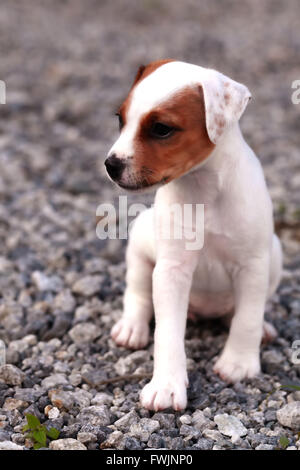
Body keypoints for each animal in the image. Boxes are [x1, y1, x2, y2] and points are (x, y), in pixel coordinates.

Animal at [104, 59, 282, 412]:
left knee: (239, 313)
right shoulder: (172, 271)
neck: (204, 189)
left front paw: (239, 363)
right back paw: (131, 327)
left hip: (276, 255)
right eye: (120, 118)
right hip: (141, 246)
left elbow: (247, 319)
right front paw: (167, 386)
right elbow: (168, 334)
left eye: (161, 129)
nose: (110, 165)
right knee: (138, 294)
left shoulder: (253, 266)